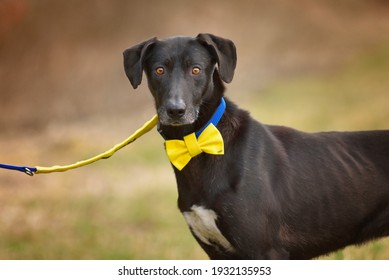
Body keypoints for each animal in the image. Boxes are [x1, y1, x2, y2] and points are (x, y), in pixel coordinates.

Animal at [122, 34, 388, 260]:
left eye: (196, 69)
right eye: (159, 70)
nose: (175, 110)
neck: (199, 144)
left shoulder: (266, 251)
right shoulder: (218, 252)